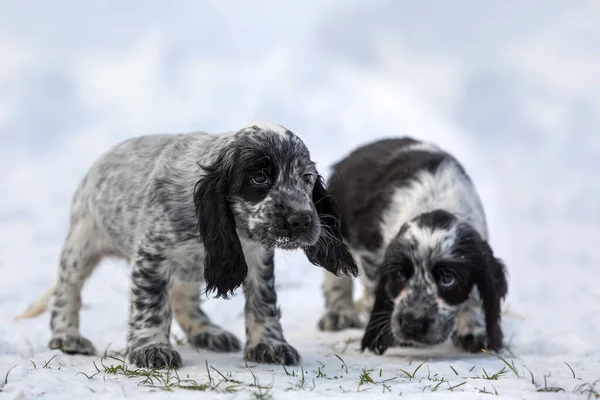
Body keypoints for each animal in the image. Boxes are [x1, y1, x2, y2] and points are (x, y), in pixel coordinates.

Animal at [17, 122, 356, 368]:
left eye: (307, 178)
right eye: (259, 177)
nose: (303, 220)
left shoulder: (257, 259)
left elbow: (263, 302)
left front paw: (269, 344)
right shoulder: (152, 257)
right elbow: (151, 306)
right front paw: (151, 348)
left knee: (182, 298)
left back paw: (208, 332)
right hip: (82, 243)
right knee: (67, 292)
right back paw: (67, 336)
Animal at [316, 137, 508, 354]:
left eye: (448, 279)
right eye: (400, 275)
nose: (413, 324)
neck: (434, 203)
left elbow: (475, 293)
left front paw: (472, 330)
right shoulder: (372, 254)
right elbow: (376, 289)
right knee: (337, 278)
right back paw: (339, 314)